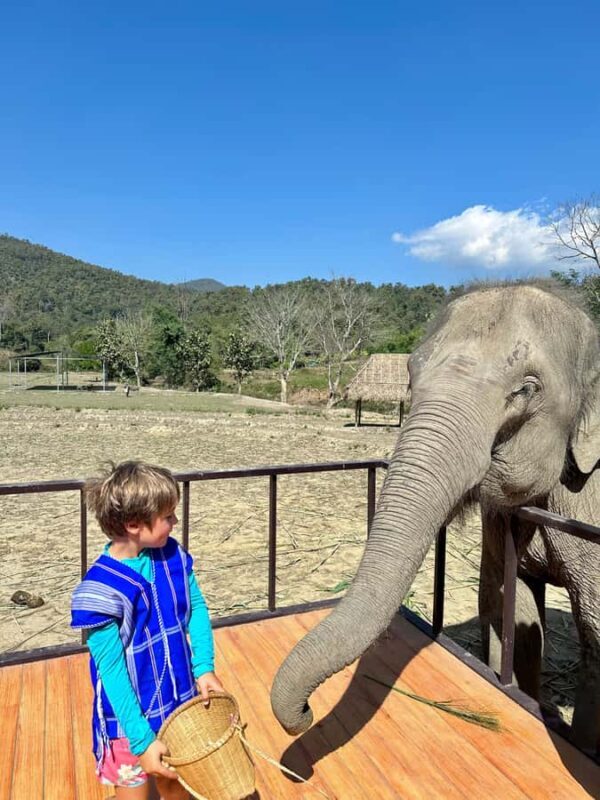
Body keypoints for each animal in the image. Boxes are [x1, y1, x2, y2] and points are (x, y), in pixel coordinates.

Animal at [271, 282, 600, 756]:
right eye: (410, 375)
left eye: (527, 388)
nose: (306, 712)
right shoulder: (499, 521)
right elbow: (506, 602)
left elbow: (594, 626)